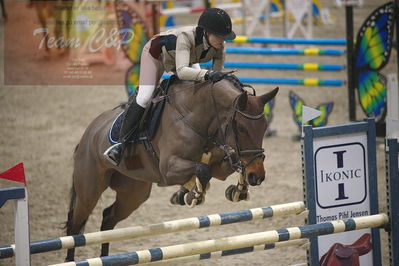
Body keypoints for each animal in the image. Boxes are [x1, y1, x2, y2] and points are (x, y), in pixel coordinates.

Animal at [65, 75, 278, 262]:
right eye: (241, 128)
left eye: (264, 127)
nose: (258, 177)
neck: (197, 116)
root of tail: (87, 135)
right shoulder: (169, 169)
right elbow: (203, 170)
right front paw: (193, 195)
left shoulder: (220, 163)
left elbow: (227, 163)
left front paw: (238, 190)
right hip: (89, 191)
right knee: (75, 227)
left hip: (133, 193)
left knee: (108, 218)